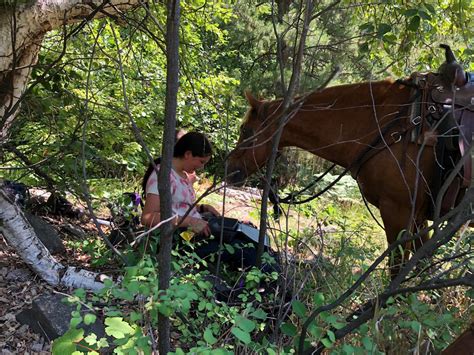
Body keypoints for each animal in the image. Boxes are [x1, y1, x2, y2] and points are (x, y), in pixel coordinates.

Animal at [228, 45, 472, 276]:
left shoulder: (398, 212)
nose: (229, 168)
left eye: (246, 130)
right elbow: (419, 268)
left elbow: (398, 270)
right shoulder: (418, 217)